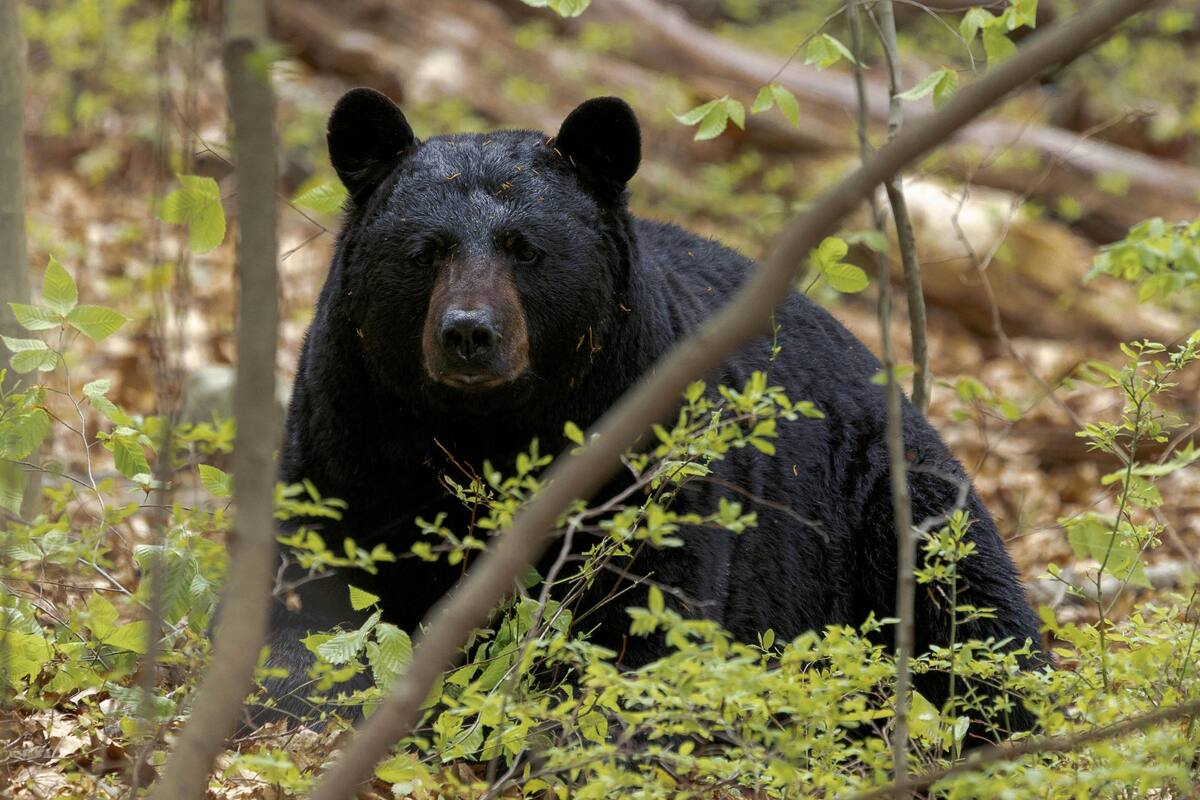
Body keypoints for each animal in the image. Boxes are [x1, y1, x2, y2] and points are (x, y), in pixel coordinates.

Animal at [254, 88, 1042, 738]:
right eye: (425, 251)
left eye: (525, 249)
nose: (469, 332)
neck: (486, 430)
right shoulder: (351, 430)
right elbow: (313, 589)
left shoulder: (645, 450)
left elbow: (649, 611)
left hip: (886, 501)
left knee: (974, 610)